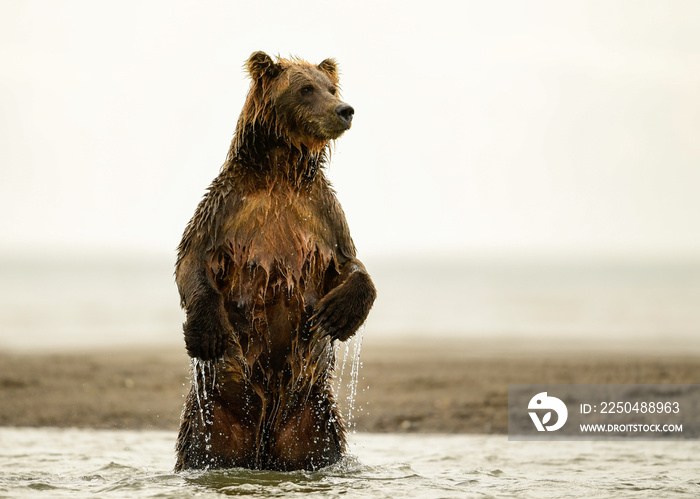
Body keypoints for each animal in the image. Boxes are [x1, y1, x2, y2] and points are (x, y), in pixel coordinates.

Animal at [174, 51, 378, 472]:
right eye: (305, 88)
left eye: (332, 88)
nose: (344, 110)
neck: (281, 173)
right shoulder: (226, 210)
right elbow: (193, 259)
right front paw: (206, 332)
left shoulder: (321, 215)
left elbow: (349, 264)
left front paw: (337, 314)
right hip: (214, 416)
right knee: (202, 449)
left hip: (313, 419)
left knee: (319, 446)